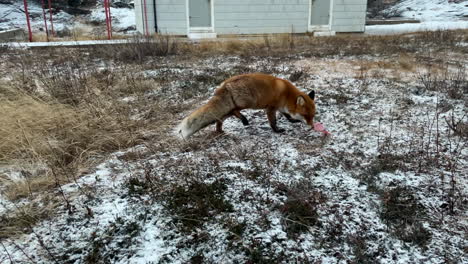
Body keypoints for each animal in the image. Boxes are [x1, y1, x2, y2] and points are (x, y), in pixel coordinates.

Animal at [177, 72, 316, 138]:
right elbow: (273, 122)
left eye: (313, 116)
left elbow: (288, 116)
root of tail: (225, 83)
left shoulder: (280, 108)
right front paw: (277, 131)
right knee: (234, 111)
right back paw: (243, 120)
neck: (287, 95)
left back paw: (220, 131)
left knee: (220, 118)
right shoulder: (271, 108)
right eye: (306, 115)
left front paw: (293, 121)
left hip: (232, 107)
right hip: (248, 102)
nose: (312, 126)